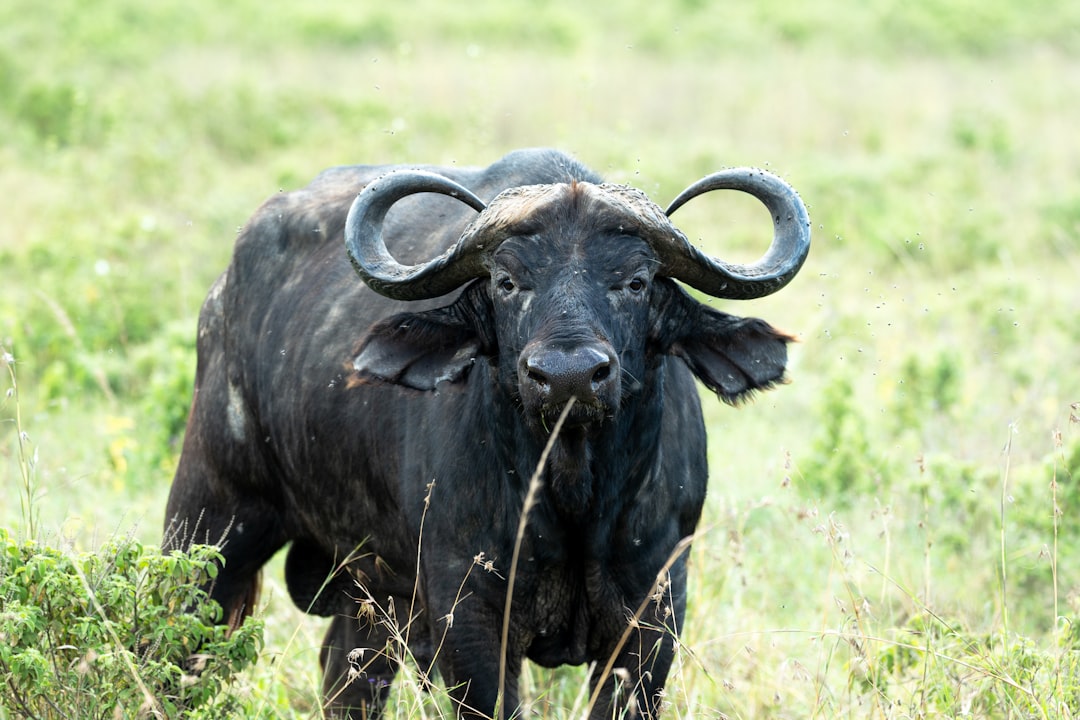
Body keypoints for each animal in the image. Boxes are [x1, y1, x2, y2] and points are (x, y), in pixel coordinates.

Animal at [162, 147, 809, 719]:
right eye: (506, 281)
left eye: (636, 282)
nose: (569, 375)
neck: (571, 494)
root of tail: (223, 295)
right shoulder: (469, 620)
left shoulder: (653, 617)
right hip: (209, 526)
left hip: (370, 593)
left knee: (349, 680)